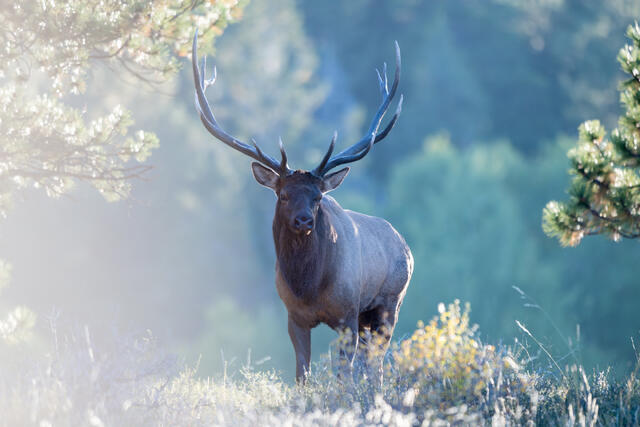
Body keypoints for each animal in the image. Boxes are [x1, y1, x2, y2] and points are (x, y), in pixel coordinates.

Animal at [191, 30, 413, 384]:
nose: (304, 221)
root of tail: (405, 246)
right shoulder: (293, 316)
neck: (308, 287)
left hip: (389, 303)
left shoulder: (347, 314)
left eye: (317, 197)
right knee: (371, 364)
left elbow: (344, 375)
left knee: (376, 364)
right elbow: (301, 375)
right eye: (283, 195)